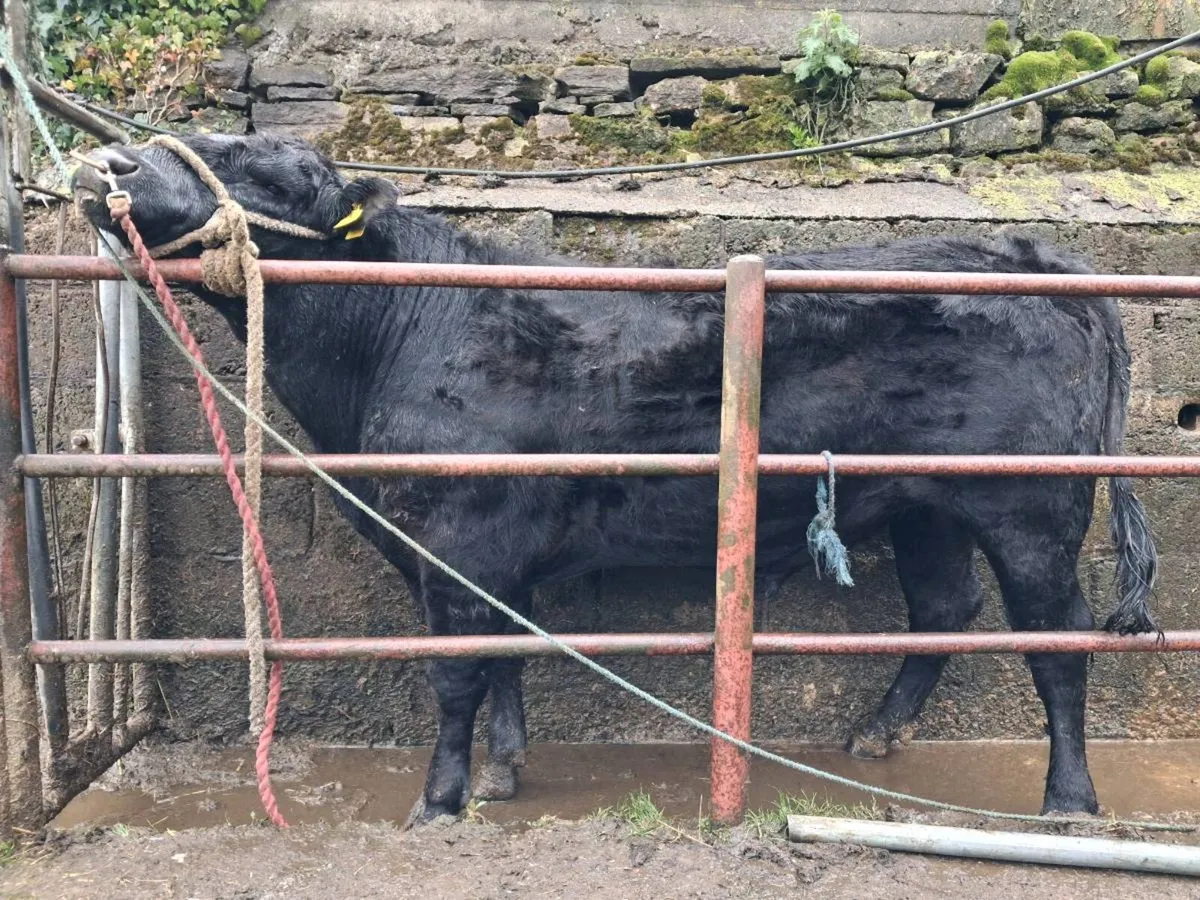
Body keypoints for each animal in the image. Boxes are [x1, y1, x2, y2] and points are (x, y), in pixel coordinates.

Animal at [73, 133, 1158, 826]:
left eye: (263, 168)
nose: (110, 165)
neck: (392, 339)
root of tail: (1024, 250)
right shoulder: (481, 554)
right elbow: (506, 652)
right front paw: (503, 773)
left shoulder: (458, 534)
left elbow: (457, 672)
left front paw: (438, 801)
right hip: (927, 504)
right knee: (943, 607)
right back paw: (878, 736)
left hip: (1032, 506)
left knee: (1056, 639)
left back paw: (1069, 803)